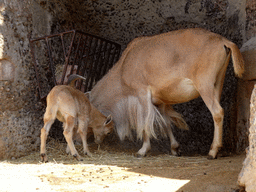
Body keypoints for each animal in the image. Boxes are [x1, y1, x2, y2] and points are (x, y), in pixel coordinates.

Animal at [88, 27, 244, 159]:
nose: (97, 140)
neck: (123, 67)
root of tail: (224, 42)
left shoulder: (142, 93)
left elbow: (145, 122)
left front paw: (142, 151)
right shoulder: (160, 101)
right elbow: (166, 122)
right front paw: (175, 149)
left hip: (204, 85)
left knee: (217, 112)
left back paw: (212, 151)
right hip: (218, 83)